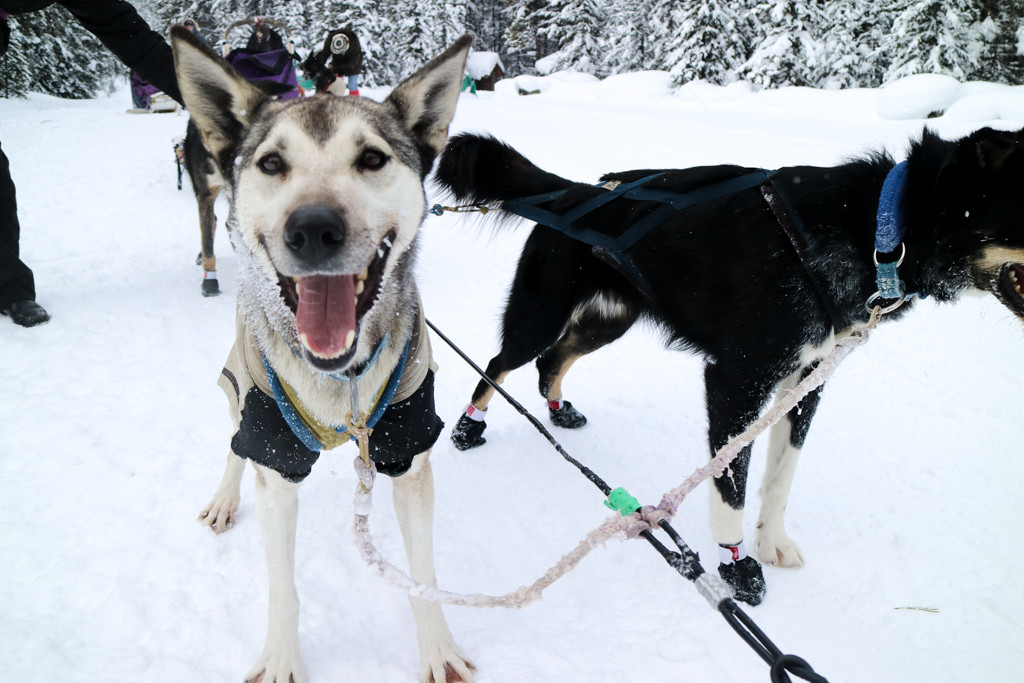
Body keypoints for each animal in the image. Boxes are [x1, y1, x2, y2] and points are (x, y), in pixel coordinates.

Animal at [175, 25, 475, 683]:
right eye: (271, 163)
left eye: (372, 159)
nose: (312, 228)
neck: (344, 384)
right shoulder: (274, 452)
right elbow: (282, 588)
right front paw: (283, 660)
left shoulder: (406, 446)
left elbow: (424, 577)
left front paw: (437, 651)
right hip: (241, 385)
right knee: (234, 444)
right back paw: (225, 498)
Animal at [436, 131, 1024, 606]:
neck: (873, 229)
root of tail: (575, 190)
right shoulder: (736, 381)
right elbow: (729, 484)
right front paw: (736, 565)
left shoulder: (805, 381)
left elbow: (780, 476)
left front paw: (772, 542)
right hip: (541, 312)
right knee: (500, 363)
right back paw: (468, 426)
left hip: (610, 321)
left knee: (551, 360)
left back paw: (559, 410)